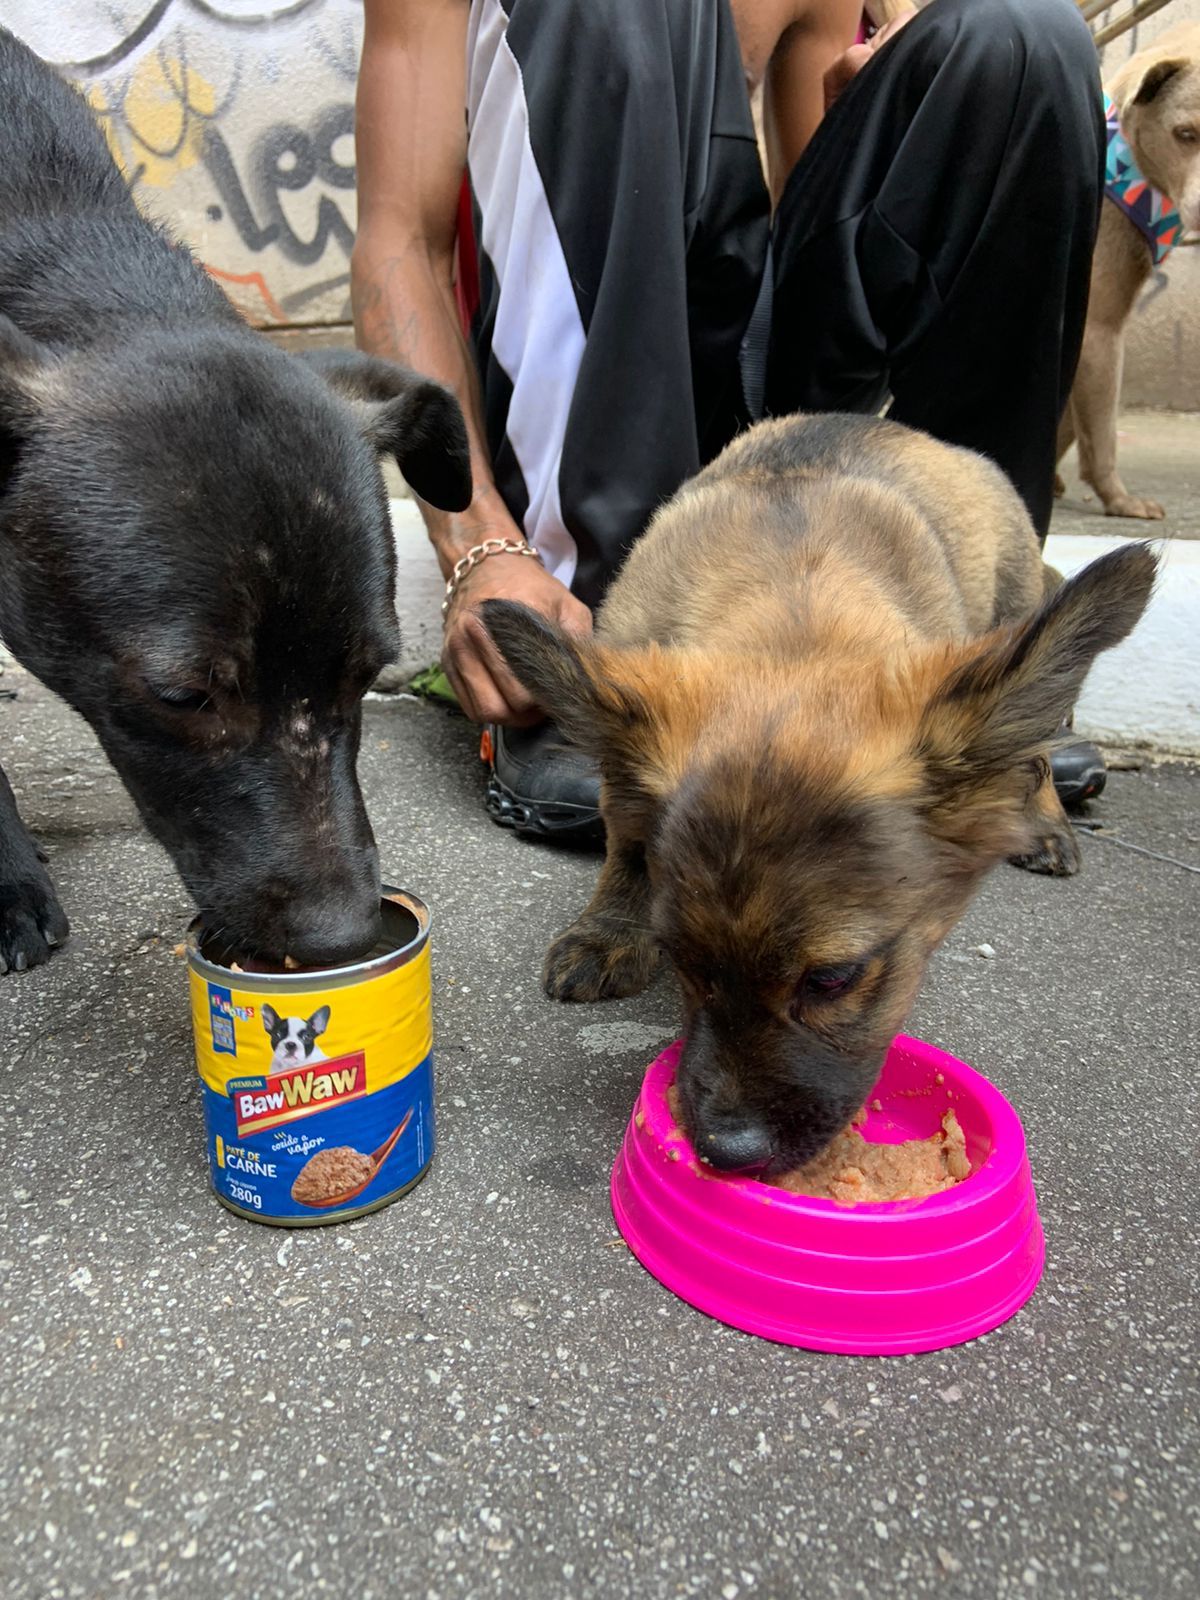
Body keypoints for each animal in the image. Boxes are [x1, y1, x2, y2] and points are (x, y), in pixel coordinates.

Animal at [483, 414, 1154, 1175]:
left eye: (833, 979)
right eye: (680, 957)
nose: (726, 1150)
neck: (795, 617)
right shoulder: (626, 754)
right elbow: (627, 841)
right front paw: (611, 930)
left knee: (1034, 758)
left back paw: (1046, 825)